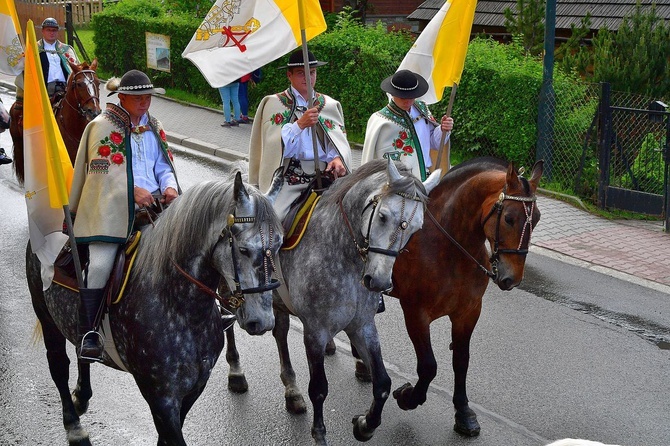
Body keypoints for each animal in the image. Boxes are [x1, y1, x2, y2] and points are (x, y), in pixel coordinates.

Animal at [25, 172, 284, 446]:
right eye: (243, 249)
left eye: (279, 246)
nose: (263, 321)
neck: (180, 310)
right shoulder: (161, 397)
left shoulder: (193, 389)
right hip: (45, 316)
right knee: (58, 366)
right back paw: (74, 426)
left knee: (79, 348)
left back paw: (82, 394)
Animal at [270, 160, 444, 446]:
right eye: (382, 216)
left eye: (417, 228)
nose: (379, 281)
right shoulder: (315, 331)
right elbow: (319, 389)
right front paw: (320, 433)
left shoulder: (363, 326)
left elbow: (383, 383)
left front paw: (365, 425)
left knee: (281, 332)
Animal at [392, 159, 544, 438]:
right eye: (509, 218)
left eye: (536, 219)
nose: (512, 278)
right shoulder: (415, 314)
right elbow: (428, 366)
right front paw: (409, 397)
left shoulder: (468, 312)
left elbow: (461, 361)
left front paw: (463, 412)